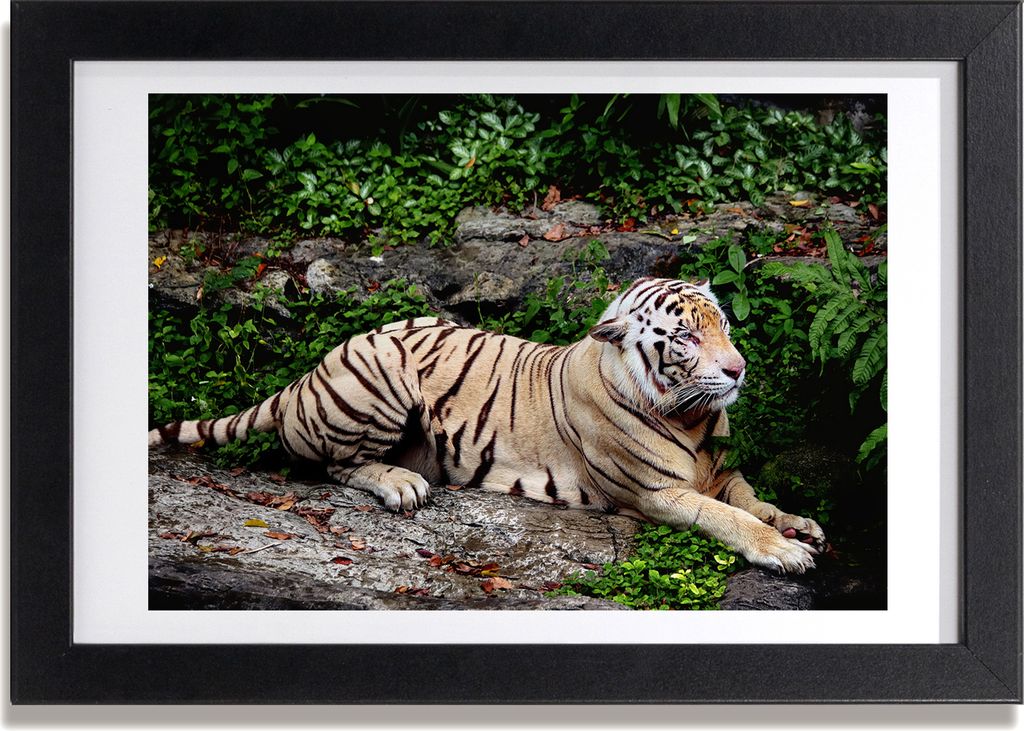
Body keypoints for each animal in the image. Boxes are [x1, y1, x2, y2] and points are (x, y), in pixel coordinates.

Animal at [150, 276, 826, 573]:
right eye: (685, 336)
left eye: (723, 325)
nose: (737, 369)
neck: (694, 418)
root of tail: (303, 377)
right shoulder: (656, 494)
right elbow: (727, 517)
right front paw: (783, 550)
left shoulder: (721, 471)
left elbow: (751, 497)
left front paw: (799, 523)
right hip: (384, 370)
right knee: (332, 465)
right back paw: (402, 484)